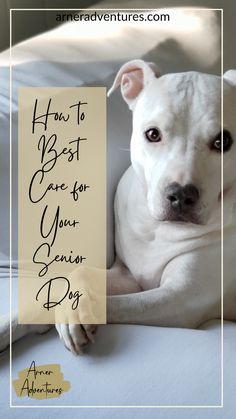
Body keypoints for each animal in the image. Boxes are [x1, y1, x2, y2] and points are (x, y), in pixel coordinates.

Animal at [0, 59, 236, 354]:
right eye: (153, 134)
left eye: (223, 141)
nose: (181, 195)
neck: (157, 230)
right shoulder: (126, 275)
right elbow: (77, 273)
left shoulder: (178, 299)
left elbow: (112, 304)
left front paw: (75, 313)